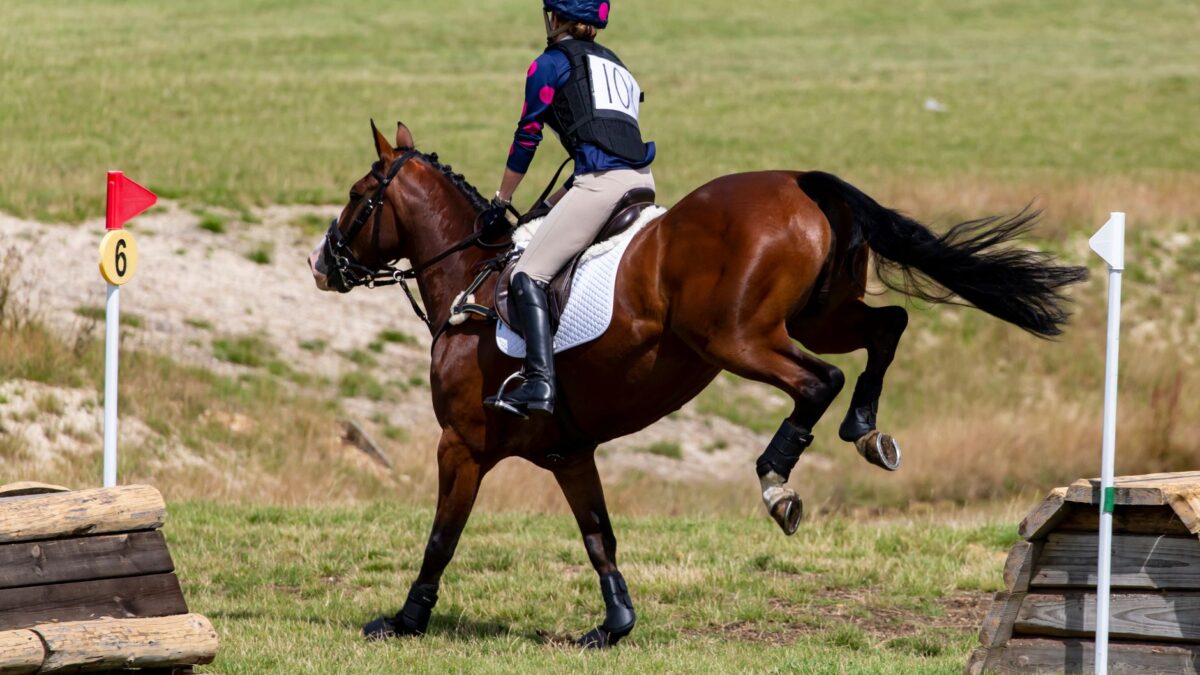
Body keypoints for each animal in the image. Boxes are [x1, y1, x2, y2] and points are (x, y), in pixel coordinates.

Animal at [308, 121, 1088, 647]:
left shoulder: (461, 445)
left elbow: (442, 536)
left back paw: (779, 481)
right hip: (821, 312)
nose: (322, 262)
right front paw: (615, 624)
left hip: (739, 339)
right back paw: (867, 432)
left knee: (820, 379)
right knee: (887, 327)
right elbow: (599, 535)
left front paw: (406, 619)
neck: (470, 278)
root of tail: (797, 181)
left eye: (357, 196)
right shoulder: (569, 453)